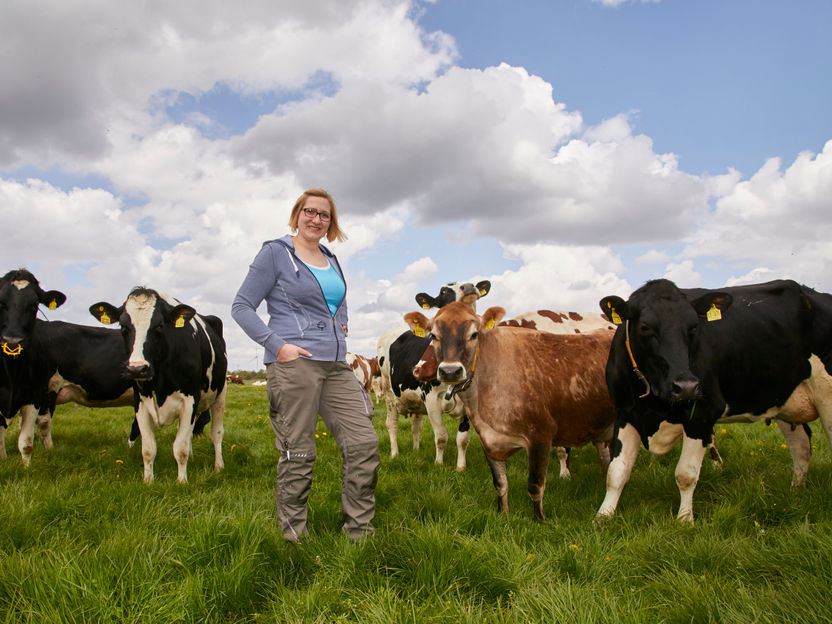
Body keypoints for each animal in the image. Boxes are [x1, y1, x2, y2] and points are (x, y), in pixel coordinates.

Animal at [90, 288, 228, 482]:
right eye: (123, 327)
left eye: (159, 326)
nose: (137, 369)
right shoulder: (140, 402)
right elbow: (148, 449)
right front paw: (148, 481)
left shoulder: (190, 399)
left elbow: (180, 448)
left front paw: (182, 481)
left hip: (220, 394)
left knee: (216, 433)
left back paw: (219, 466)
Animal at [378, 282, 490, 468]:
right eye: (444, 291)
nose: (468, 287)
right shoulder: (430, 400)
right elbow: (441, 436)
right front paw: (439, 464)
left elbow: (463, 439)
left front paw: (461, 467)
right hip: (388, 391)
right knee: (391, 424)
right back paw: (394, 454)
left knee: (416, 425)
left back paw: (416, 450)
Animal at [406, 302, 616, 520]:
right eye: (433, 335)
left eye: (474, 334)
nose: (449, 371)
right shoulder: (488, 439)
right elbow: (500, 483)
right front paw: (503, 513)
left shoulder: (541, 437)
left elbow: (535, 486)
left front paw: (539, 521)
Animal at [600, 280, 832, 524]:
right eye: (645, 327)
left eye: (694, 327)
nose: (687, 386)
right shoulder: (626, 414)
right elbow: (616, 472)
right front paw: (604, 516)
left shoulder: (702, 415)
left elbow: (686, 474)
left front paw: (685, 520)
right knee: (801, 447)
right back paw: (796, 492)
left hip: (827, 395)